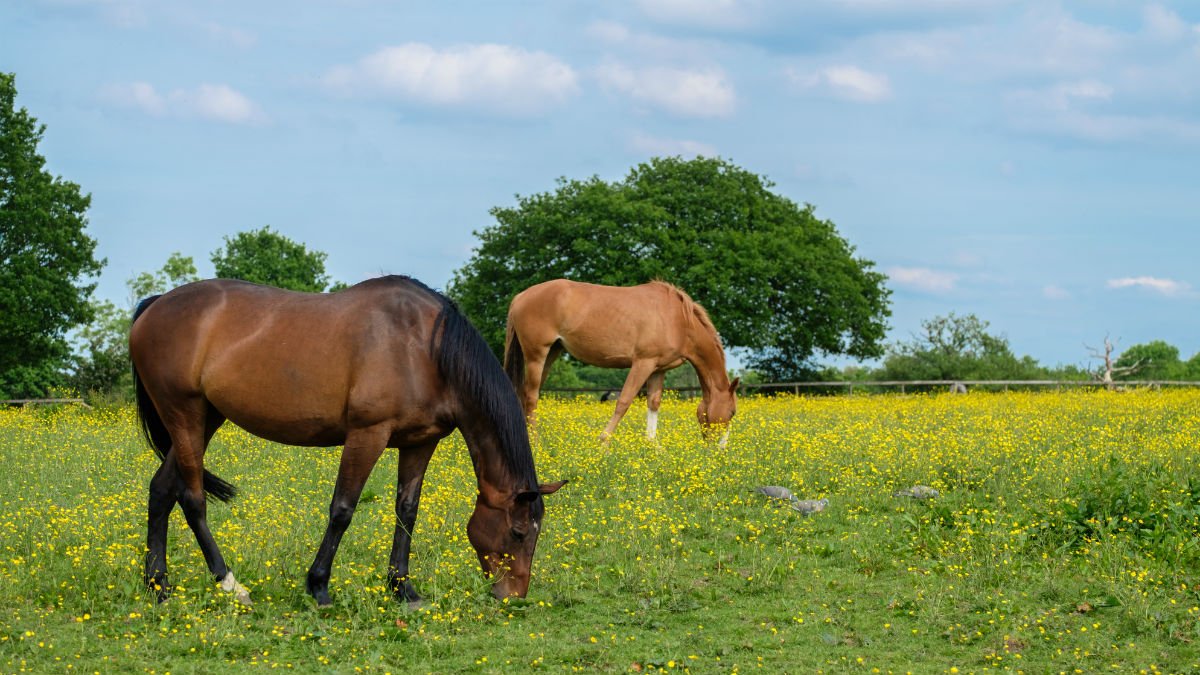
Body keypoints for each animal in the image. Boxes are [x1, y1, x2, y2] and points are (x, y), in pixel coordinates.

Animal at [129, 275, 568, 605]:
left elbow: (407, 511)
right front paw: (319, 586)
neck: (425, 347)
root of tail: (155, 305)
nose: (513, 596)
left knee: (161, 490)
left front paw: (402, 589)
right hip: (184, 415)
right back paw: (229, 584)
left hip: (205, 419)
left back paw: (158, 587)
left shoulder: (419, 443)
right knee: (192, 499)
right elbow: (343, 508)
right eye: (518, 533)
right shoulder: (367, 435)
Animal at [501, 279, 734, 444]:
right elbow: (623, 402)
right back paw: (535, 443)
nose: (720, 448)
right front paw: (603, 443)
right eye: (732, 412)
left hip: (552, 353)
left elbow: (654, 403)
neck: (678, 320)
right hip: (536, 355)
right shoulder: (642, 363)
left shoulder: (658, 369)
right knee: (531, 397)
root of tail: (521, 296)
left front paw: (654, 447)